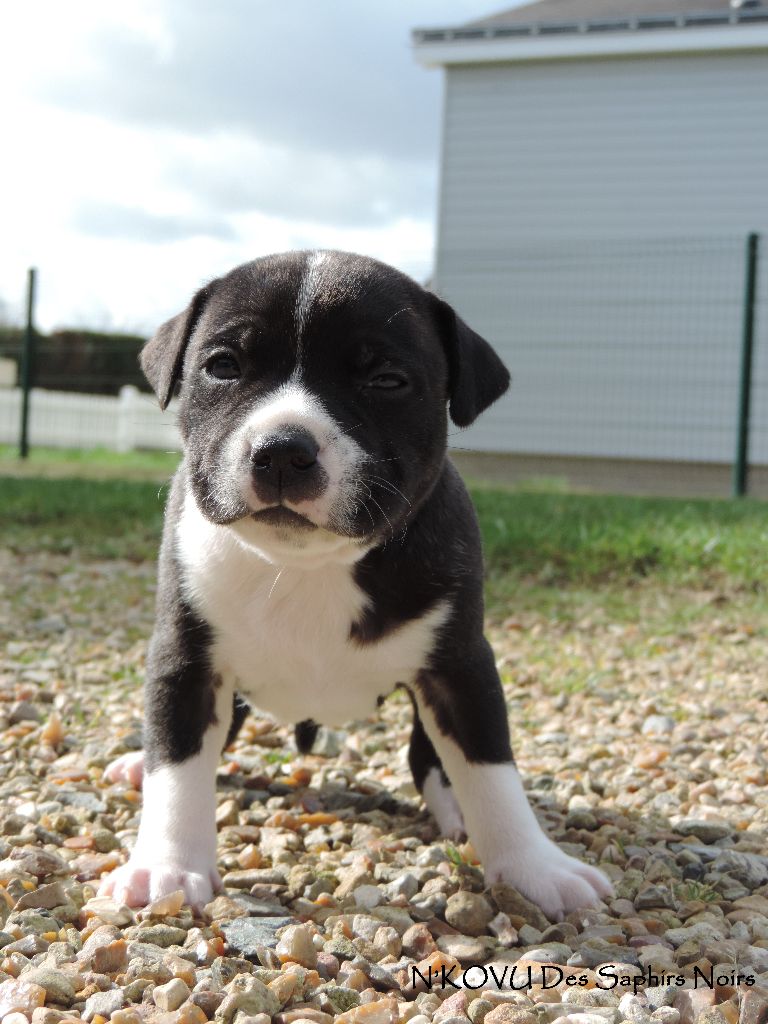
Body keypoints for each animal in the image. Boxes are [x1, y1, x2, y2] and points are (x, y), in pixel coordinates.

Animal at [99, 249, 614, 921]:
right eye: (222, 366)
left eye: (386, 381)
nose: (282, 449)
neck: (311, 566)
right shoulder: (185, 661)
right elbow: (179, 765)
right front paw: (166, 866)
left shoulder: (460, 667)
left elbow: (490, 768)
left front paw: (536, 868)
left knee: (430, 758)